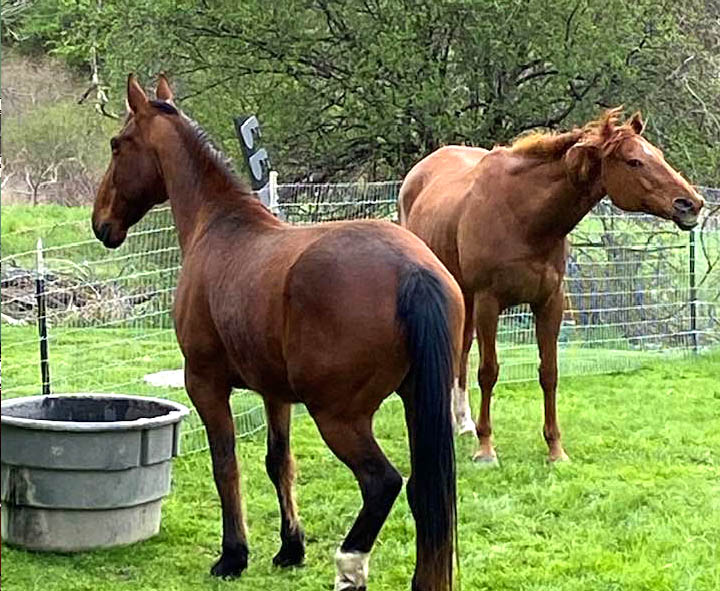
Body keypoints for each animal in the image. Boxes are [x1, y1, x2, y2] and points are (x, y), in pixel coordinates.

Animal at [92, 74, 465, 591]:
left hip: (339, 418)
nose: (100, 222)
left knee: (384, 483)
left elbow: (225, 465)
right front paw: (291, 547)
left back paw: (350, 565)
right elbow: (279, 463)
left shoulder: (205, 385)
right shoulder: (275, 395)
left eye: (117, 144)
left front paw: (234, 554)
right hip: (417, 402)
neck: (219, 225)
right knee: (424, 494)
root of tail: (413, 269)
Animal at [399, 108, 705, 464]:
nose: (691, 204)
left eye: (658, 155)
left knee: (460, 351)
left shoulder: (549, 302)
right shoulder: (489, 302)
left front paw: (555, 449)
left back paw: (462, 423)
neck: (524, 216)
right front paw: (486, 449)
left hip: (466, 297)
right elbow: (488, 372)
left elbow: (549, 373)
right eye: (634, 161)